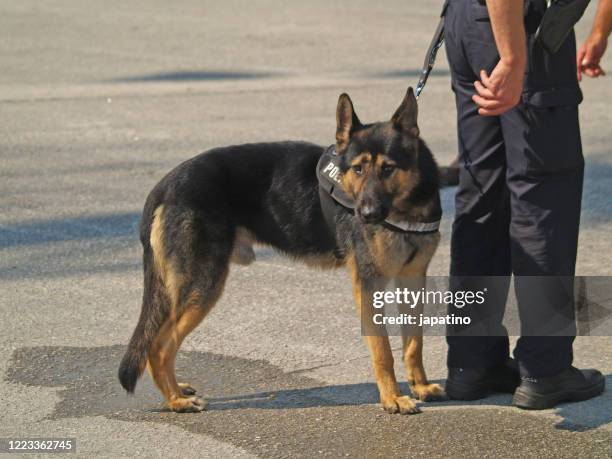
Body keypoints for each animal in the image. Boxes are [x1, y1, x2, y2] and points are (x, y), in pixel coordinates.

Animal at [118, 88, 444, 416]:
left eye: (388, 168)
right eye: (358, 169)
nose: (366, 214)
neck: (405, 209)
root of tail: (165, 185)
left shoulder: (413, 280)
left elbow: (414, 343)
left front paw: (420, 386)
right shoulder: (368, 284)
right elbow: (382, 350)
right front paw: (392, 398)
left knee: (158, 345)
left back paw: (176, 390)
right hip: (203, 286)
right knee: (159, 347)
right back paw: (176, 400)